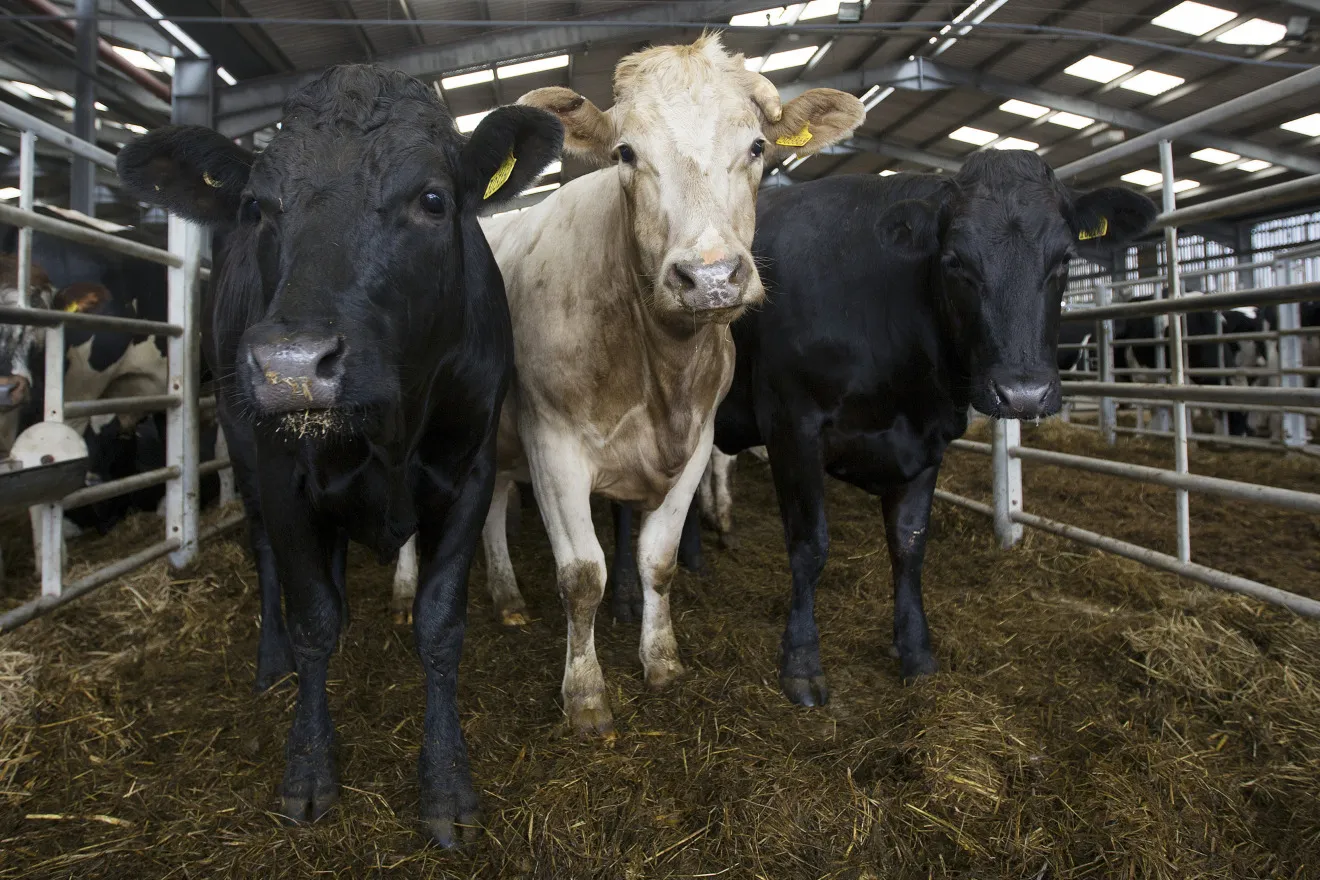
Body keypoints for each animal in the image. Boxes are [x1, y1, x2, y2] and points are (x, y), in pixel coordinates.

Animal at [116, 64, 562, 845]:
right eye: (258, 206)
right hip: (242, 447)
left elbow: (440, 625)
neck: (388, 426)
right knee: (269, 561)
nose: (292, 364)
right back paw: (273, 665)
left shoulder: (470, 470)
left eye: (433, 199)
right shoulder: (281, 474)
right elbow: (313, 618)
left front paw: (446, 783)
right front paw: (309, 767)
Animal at [389, 34, 864, 736]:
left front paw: (661, 660)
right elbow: (582, 573)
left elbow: (657, 561)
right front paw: (586, 695)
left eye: (757, 147)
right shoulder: (553, 447)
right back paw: (402, 593)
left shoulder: (696, 446)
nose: (711, 276)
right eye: (627, 153)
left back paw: (506, 596)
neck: (659, 370)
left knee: (494, 508)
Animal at [676, 153, 1154, 707]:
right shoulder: (791, 425)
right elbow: (809, 544)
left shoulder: (927, 440)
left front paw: (916, 653)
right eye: (955, 261)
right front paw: (801, 664)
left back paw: (692, 560)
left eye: (1064, 258)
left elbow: (909, 545)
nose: (1023, 393)